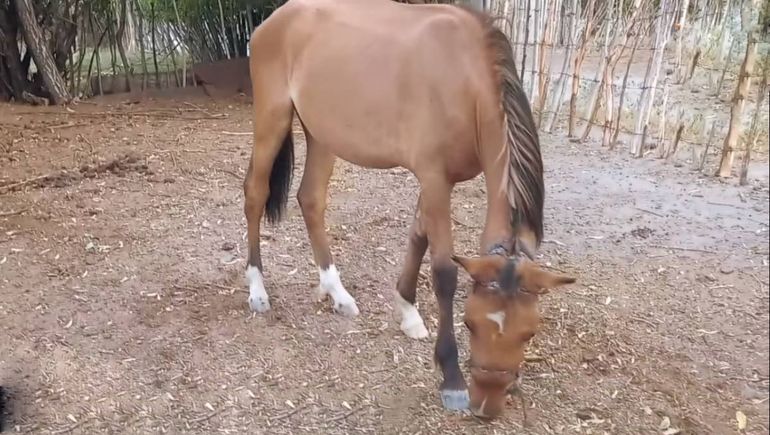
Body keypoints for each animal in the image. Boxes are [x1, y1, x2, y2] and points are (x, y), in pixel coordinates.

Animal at [242, 0, 576, 419]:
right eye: (470, 324)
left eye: (529, 332)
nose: (487, 404)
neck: (466, 81)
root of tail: (275, 19)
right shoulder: (434, 177)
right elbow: (444, 271)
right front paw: (451, 377)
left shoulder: (438, 180)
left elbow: (418, 236)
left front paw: (408, 311)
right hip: (271, 119)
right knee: (255, 195)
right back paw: (257, 289)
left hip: (322, 134)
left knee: (311, 199)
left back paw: (336, 292)